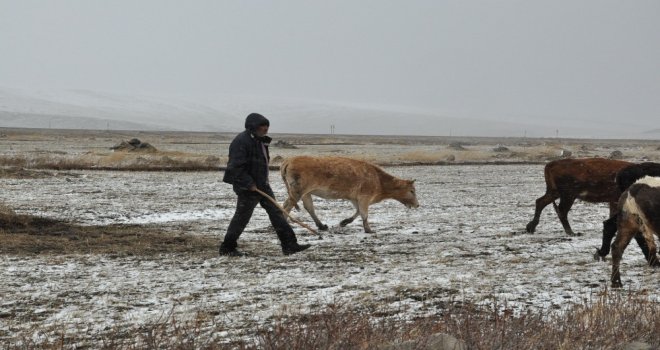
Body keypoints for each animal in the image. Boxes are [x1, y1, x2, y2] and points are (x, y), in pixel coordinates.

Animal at [278, 156, 418, 232]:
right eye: (412, 191)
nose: (417, 205)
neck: (378, 179)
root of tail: (288, 161)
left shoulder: (355, 198)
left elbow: (358, 212)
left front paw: (344, 222)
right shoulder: (364, 197)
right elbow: (364, 214)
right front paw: (368, 229)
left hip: (305, 193)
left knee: (308, 207)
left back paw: (322, 226)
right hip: (297, 191)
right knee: (288, 205)